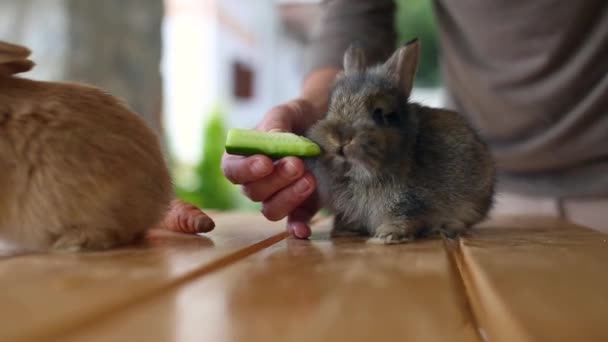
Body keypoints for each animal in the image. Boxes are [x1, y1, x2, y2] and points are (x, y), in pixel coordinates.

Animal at [306, 39, 496, 243]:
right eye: (331, 107)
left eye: (380, 113)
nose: (340, 139)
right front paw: (343, 231)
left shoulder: (409, 201)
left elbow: (403, 216)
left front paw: (387, 235)